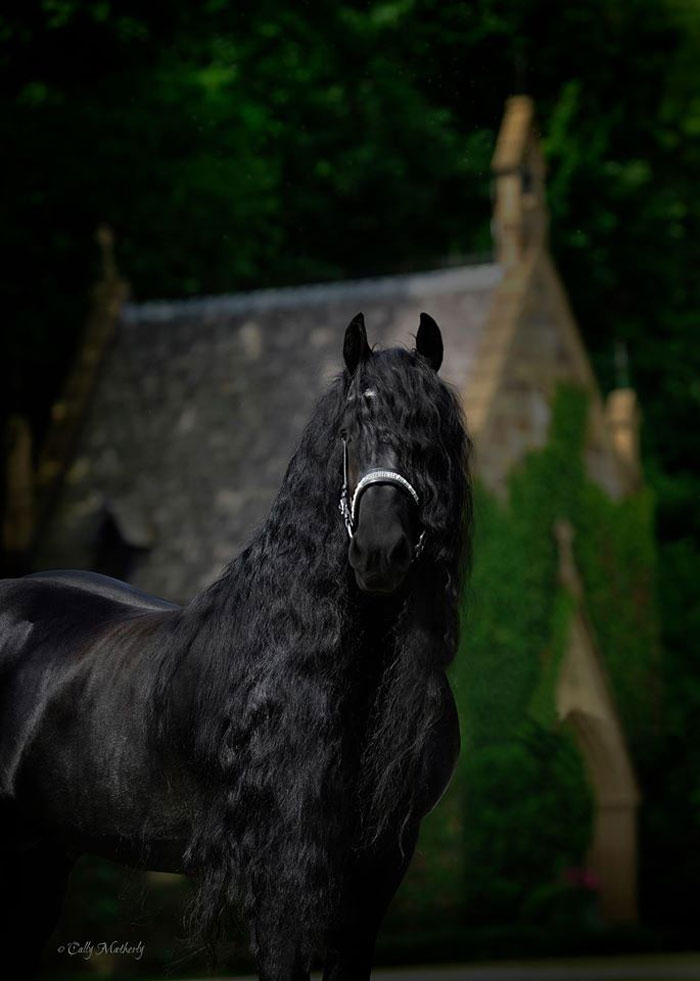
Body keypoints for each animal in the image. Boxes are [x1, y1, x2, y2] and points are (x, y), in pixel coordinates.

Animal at [0, 311, 471, 980]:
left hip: (40, 853)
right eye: (348, 430)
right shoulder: (277, 874)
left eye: (435, 435)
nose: (382, 553)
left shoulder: (378, 872)